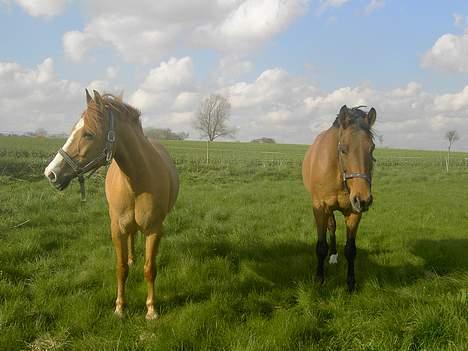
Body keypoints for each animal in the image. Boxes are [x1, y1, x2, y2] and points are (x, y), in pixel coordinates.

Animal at [43, 90, 179, 320]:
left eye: (88, 134)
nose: (51, 173)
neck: (138, 180)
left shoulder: (154, 230)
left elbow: (150, 269)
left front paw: (151, 309)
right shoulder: (117, 229)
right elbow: (121, 268)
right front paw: (120, 308)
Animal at [304, 106, 376, 292]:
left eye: (372, 148)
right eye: (343, 149)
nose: (363, 200)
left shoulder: (354, 212)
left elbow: (351, 250)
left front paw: (351, 283)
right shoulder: (320, 208)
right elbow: (321, 246)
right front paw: (319, 279)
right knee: (332, 227)